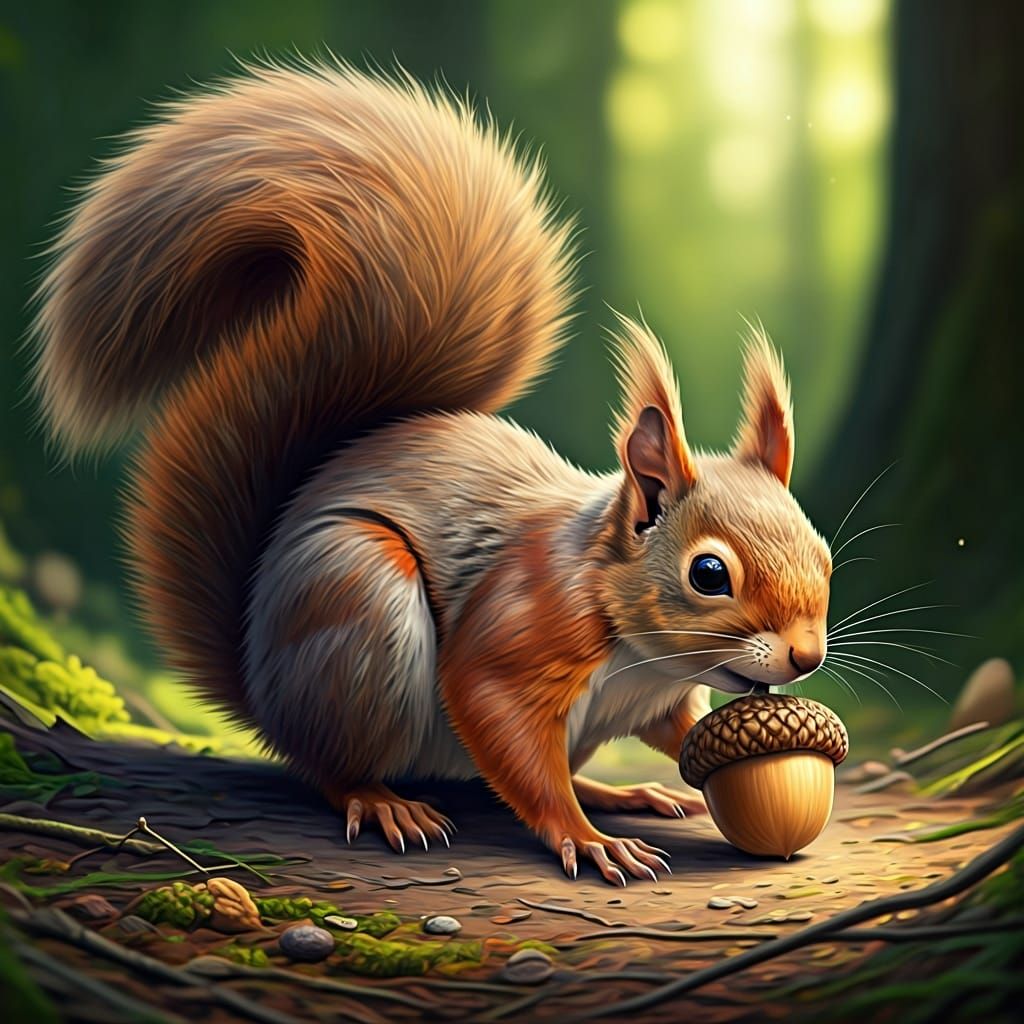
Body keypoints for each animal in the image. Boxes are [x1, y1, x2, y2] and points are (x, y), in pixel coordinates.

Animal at [32, 61, 832, 886]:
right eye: (709, 574)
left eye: (824, 553)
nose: (807, 657)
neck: (640, 647)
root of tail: (260, 682)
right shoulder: (519, 629)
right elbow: (497, 718)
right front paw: (584, 839)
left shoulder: (658, 697)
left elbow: (676, 729)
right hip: (357, 604)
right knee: (332, 766)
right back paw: (385, 801)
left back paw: (617, 791)